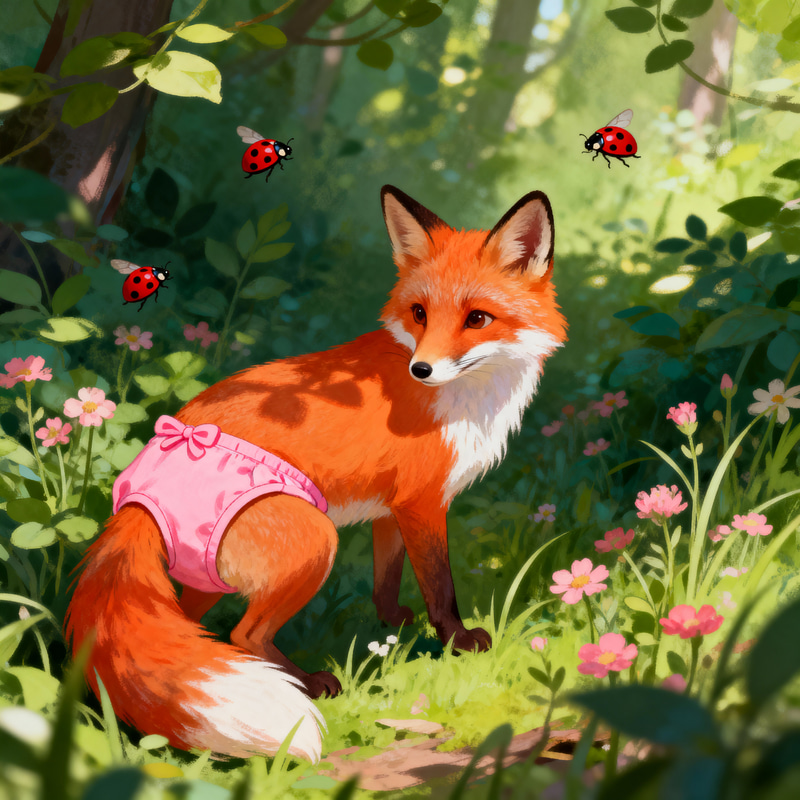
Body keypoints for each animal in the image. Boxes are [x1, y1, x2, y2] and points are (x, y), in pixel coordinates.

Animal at [65, 186, 567, 763]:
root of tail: (135, 500)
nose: (421, 368)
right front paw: (458, 642)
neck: (469, 398)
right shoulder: (422, 502)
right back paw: (309, 684)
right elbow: (441, 587)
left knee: (194, 632)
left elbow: (386, 579)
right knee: (244, 635)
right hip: (315, 540)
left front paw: (394, 625)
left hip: (207, 579)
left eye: (478, 319)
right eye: (419, 313)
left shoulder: (392, 510)